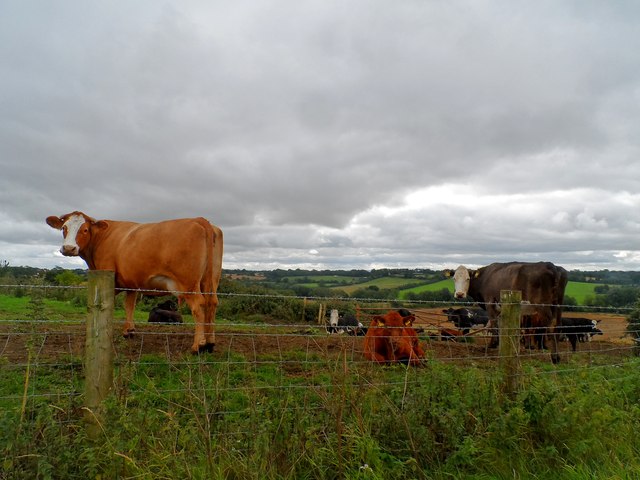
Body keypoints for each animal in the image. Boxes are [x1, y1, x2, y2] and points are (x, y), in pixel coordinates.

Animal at [46, 212, 224, 354]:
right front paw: (129, 331)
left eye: (84, 229)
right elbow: (129, 305)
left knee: (199, 305)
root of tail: (201, 220)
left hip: (189, 285)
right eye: (64, 228)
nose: (68, 248)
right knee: (212, 303)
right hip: (211, 281)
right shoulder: (131, 283)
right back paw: (210, 343)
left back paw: (198, 346)